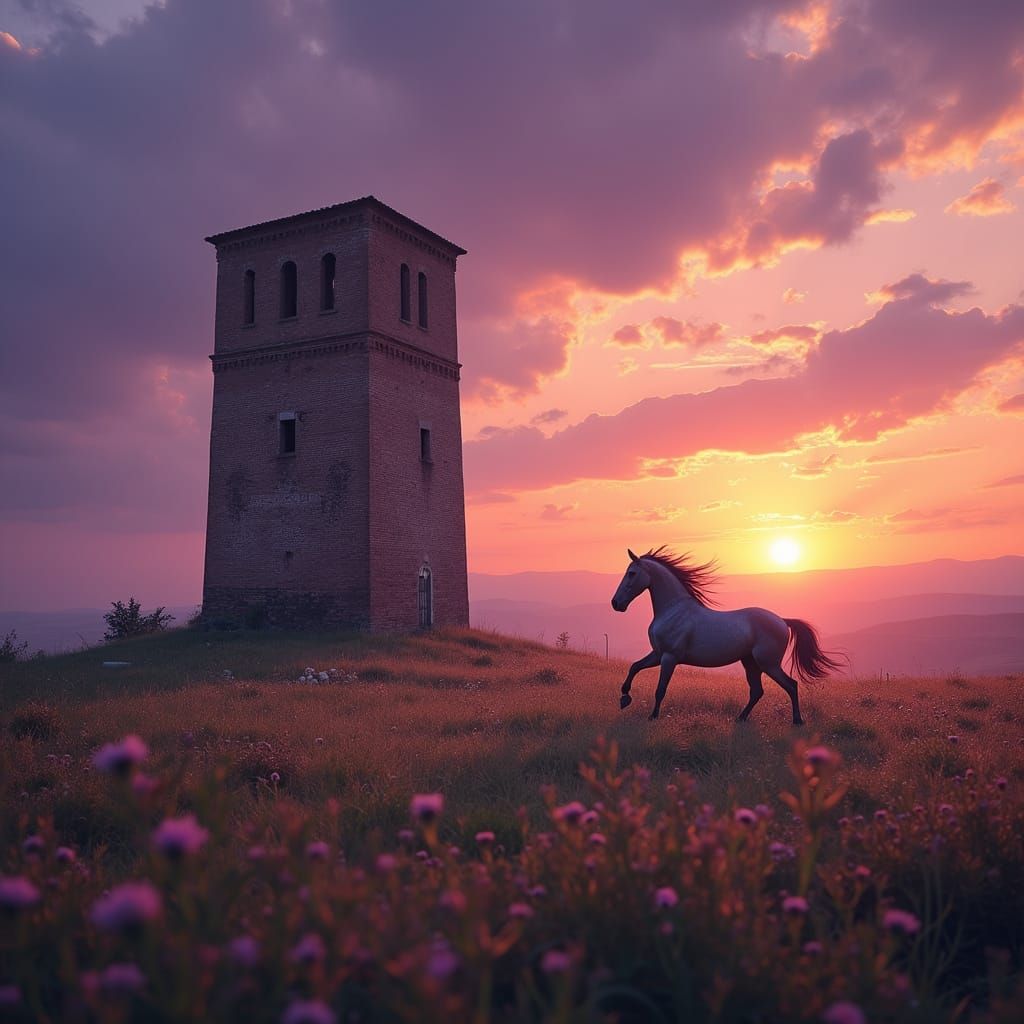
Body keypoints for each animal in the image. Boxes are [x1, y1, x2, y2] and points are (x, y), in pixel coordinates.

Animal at [610, 547, 844, 724]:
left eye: (631, 573)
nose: (616, 603)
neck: (673, 610)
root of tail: (782, 620)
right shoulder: (658, 654)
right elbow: (634, 667)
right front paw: (624, 697)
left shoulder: (669, 657)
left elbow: (660, 689)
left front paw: (652, 716)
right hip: (750, 663)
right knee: (757, 691)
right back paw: (741, 719)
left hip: (768, 664)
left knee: (791, 685)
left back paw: (797, 721)